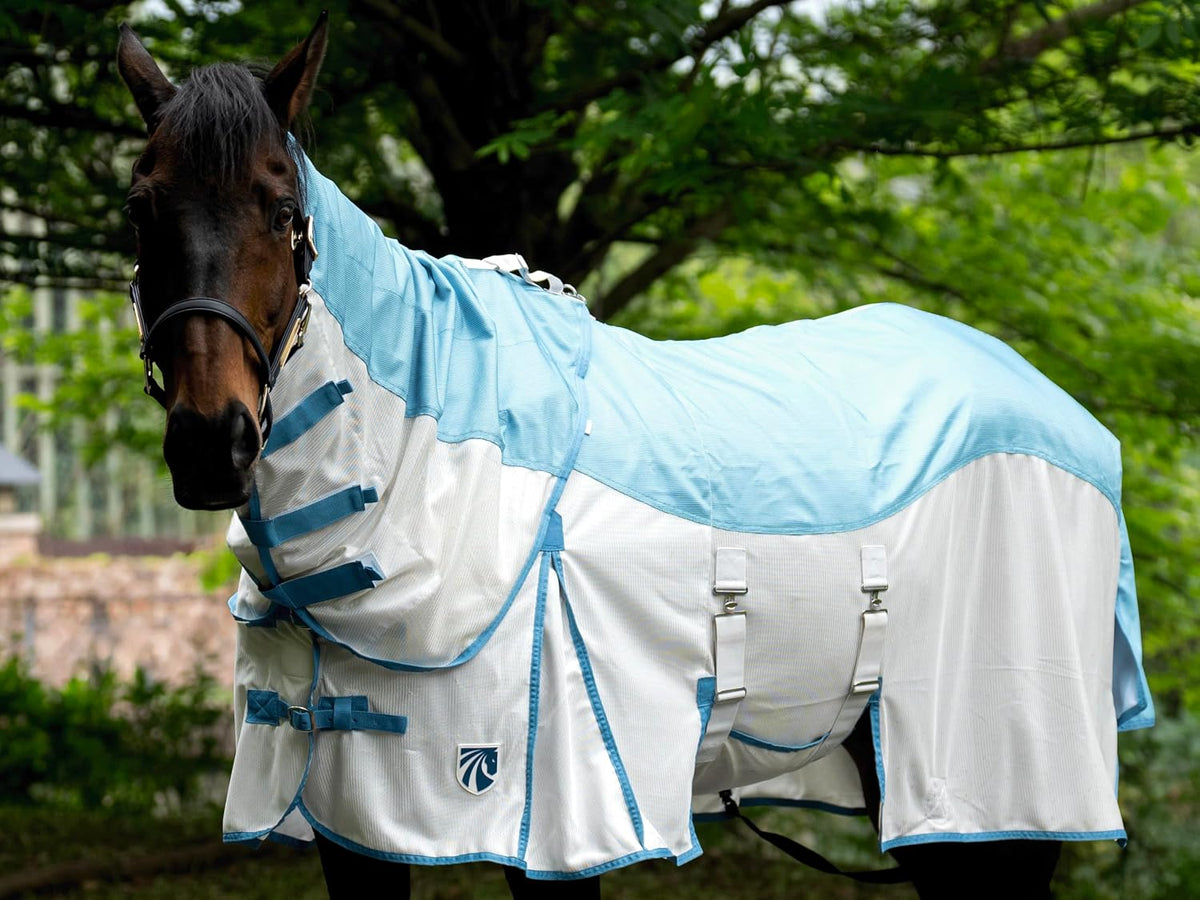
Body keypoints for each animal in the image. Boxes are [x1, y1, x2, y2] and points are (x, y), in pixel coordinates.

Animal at [116, 15, 1153, 899]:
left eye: (279, 205)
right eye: (142, 206)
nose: (211, 444)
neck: (424, 488)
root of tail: (1074, 423)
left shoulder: (550, 823)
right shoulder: (351, 829)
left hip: (991, 791)